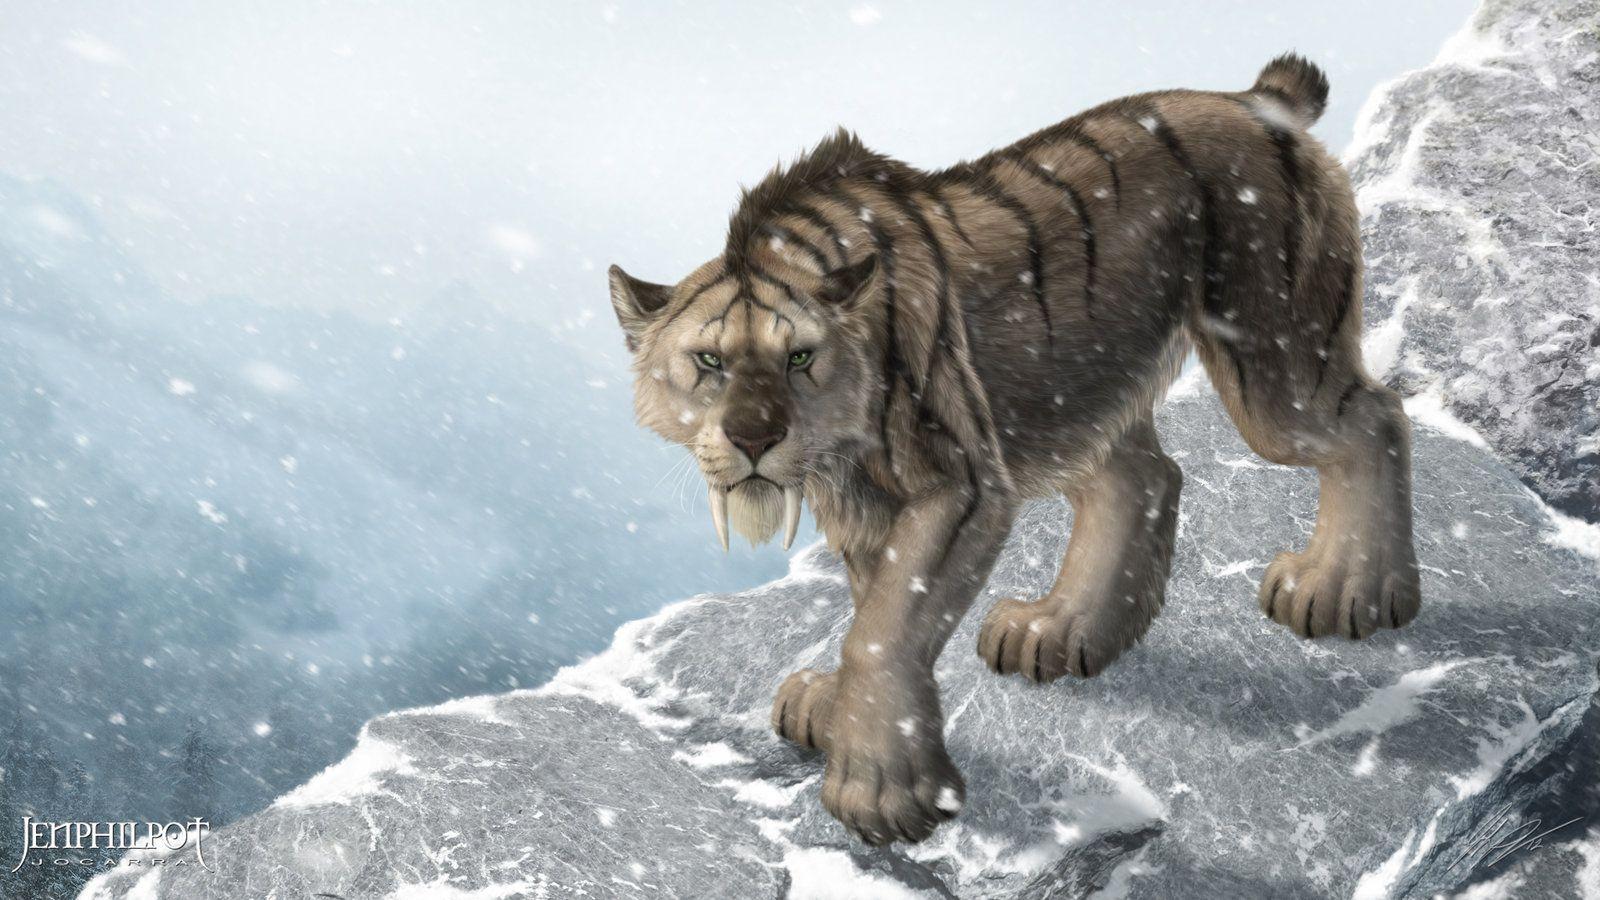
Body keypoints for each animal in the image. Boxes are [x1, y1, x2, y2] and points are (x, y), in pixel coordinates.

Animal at [607, 54, 1419, 846]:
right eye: (710, 362)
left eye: (800, 358)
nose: (754, 438)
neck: (840, 449)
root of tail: (1259, 99)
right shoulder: (863, 502)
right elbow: (872, 604)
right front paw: (839, 716)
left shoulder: (959, 484)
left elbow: (883, 628)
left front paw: (880, 794)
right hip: (1080, 389)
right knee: (1145, 477)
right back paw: (1061, 630)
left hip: (1273, 365)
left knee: (1376, 417)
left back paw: (1346, 591)